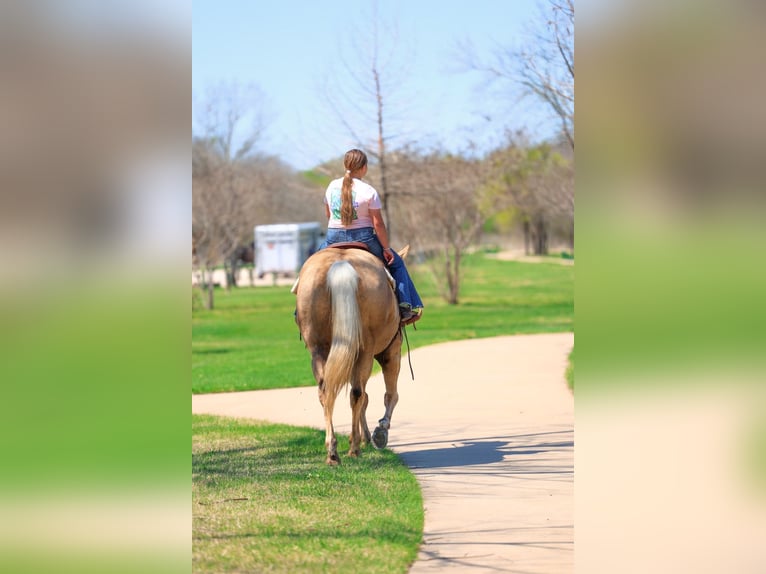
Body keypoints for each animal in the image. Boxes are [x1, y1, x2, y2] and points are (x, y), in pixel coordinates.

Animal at [294, 245, 403, 465]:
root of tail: (341, 265)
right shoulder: (392, 351)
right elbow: (390, 395)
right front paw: (379, 432)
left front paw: (366, 436)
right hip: (366, 351)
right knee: (357, 393)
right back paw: (353, 449)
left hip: (319, 349)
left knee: (326, 391)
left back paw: (332, 451)